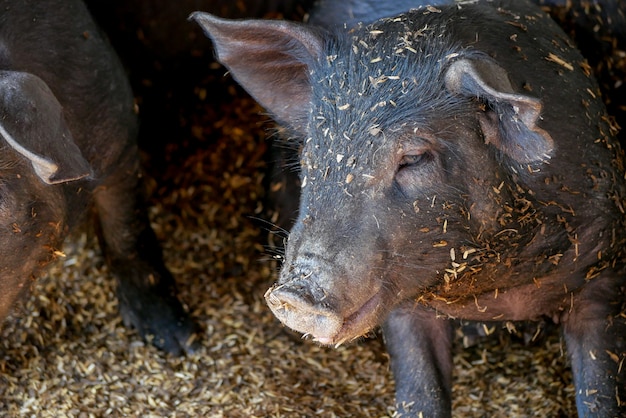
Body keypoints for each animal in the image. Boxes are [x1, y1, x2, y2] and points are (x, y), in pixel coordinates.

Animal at [193, 0, 620, 414]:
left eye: (413, 157)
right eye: (311, 152)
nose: (293, 294)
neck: (496, 293)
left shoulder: (603, 266)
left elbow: (601, 388)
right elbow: (421, 389)